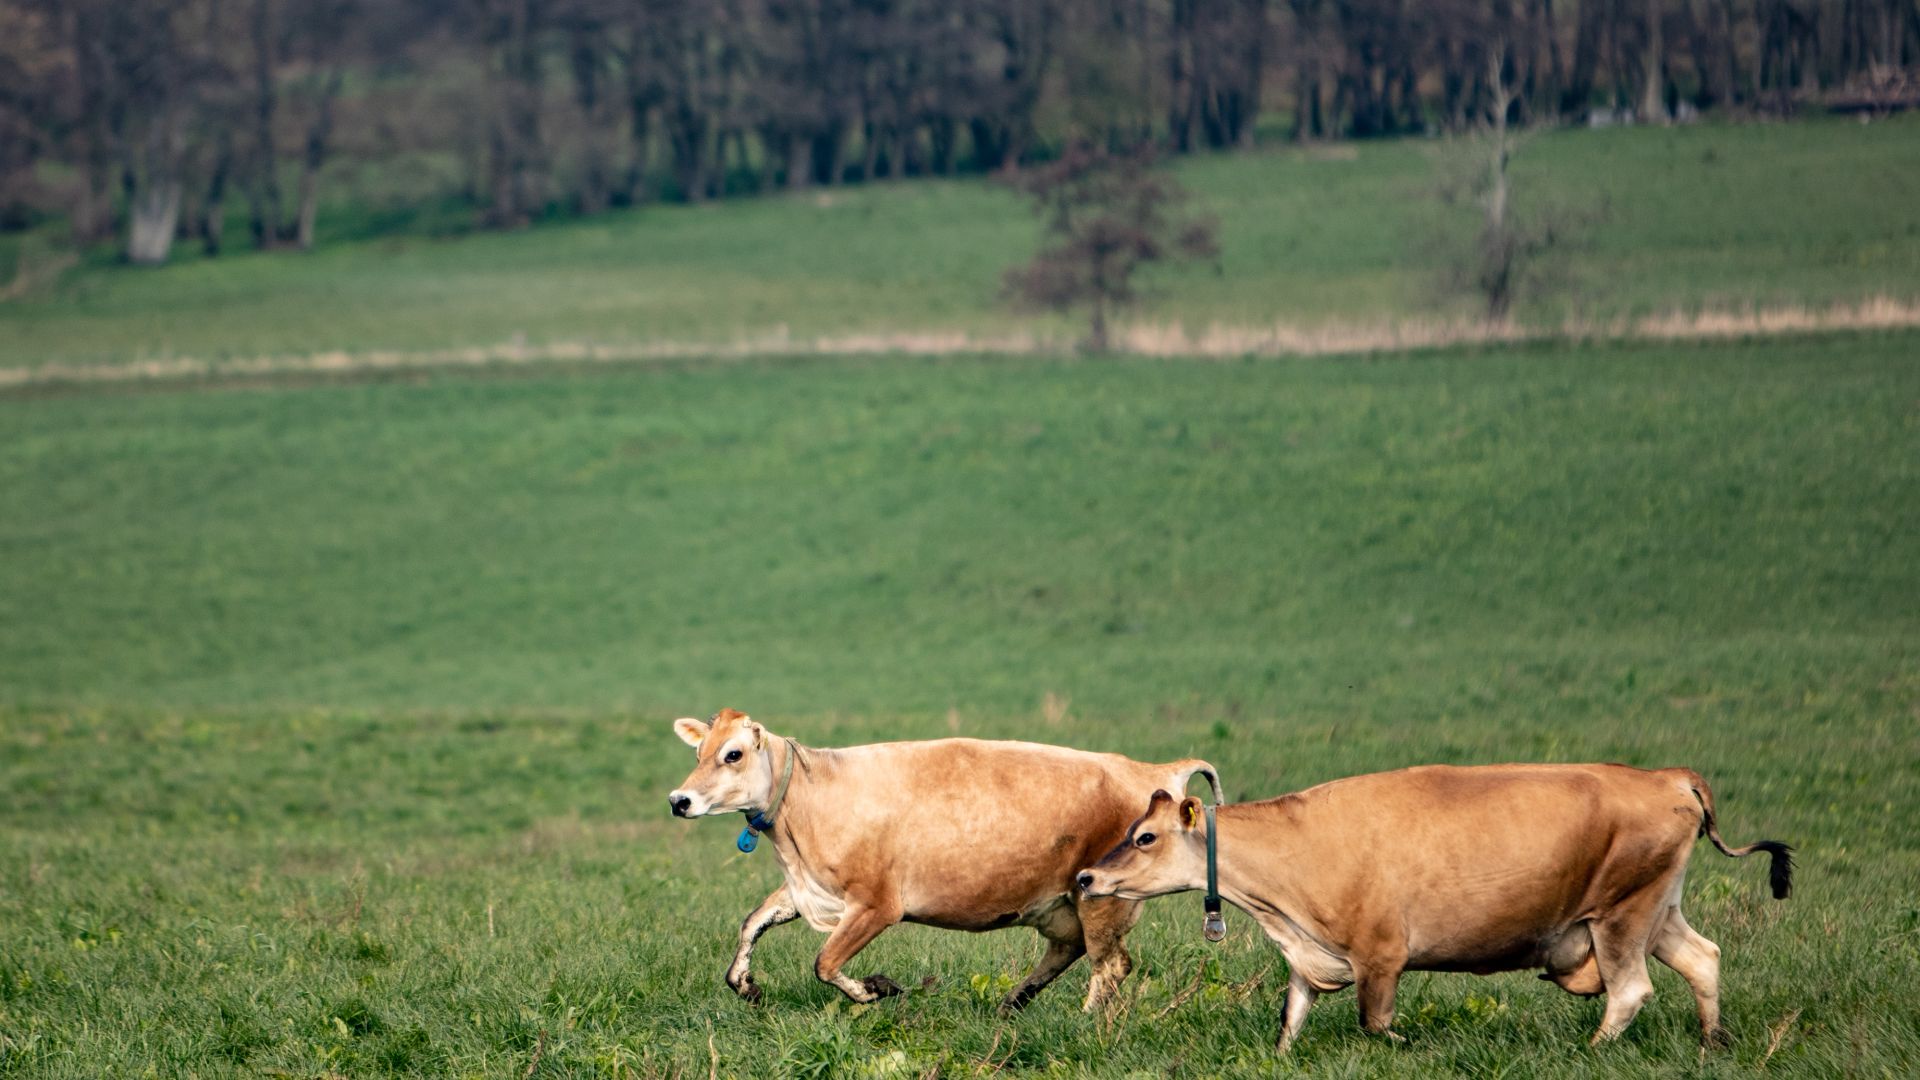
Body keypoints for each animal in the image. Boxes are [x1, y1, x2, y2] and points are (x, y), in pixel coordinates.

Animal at [1075, 760, 1789, 1045]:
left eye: (1144, 836)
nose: (1085, 877)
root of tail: (1668, 776)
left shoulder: (1380, 957)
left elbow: (1376, 1024)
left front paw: (1408, 1042)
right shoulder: (1309, 954)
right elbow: (1290, 1020)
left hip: (1621, 914)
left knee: (1631, 989)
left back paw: (1592, 1050)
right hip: (1658, 911)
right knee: (1703, 958)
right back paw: (1712, 1040)